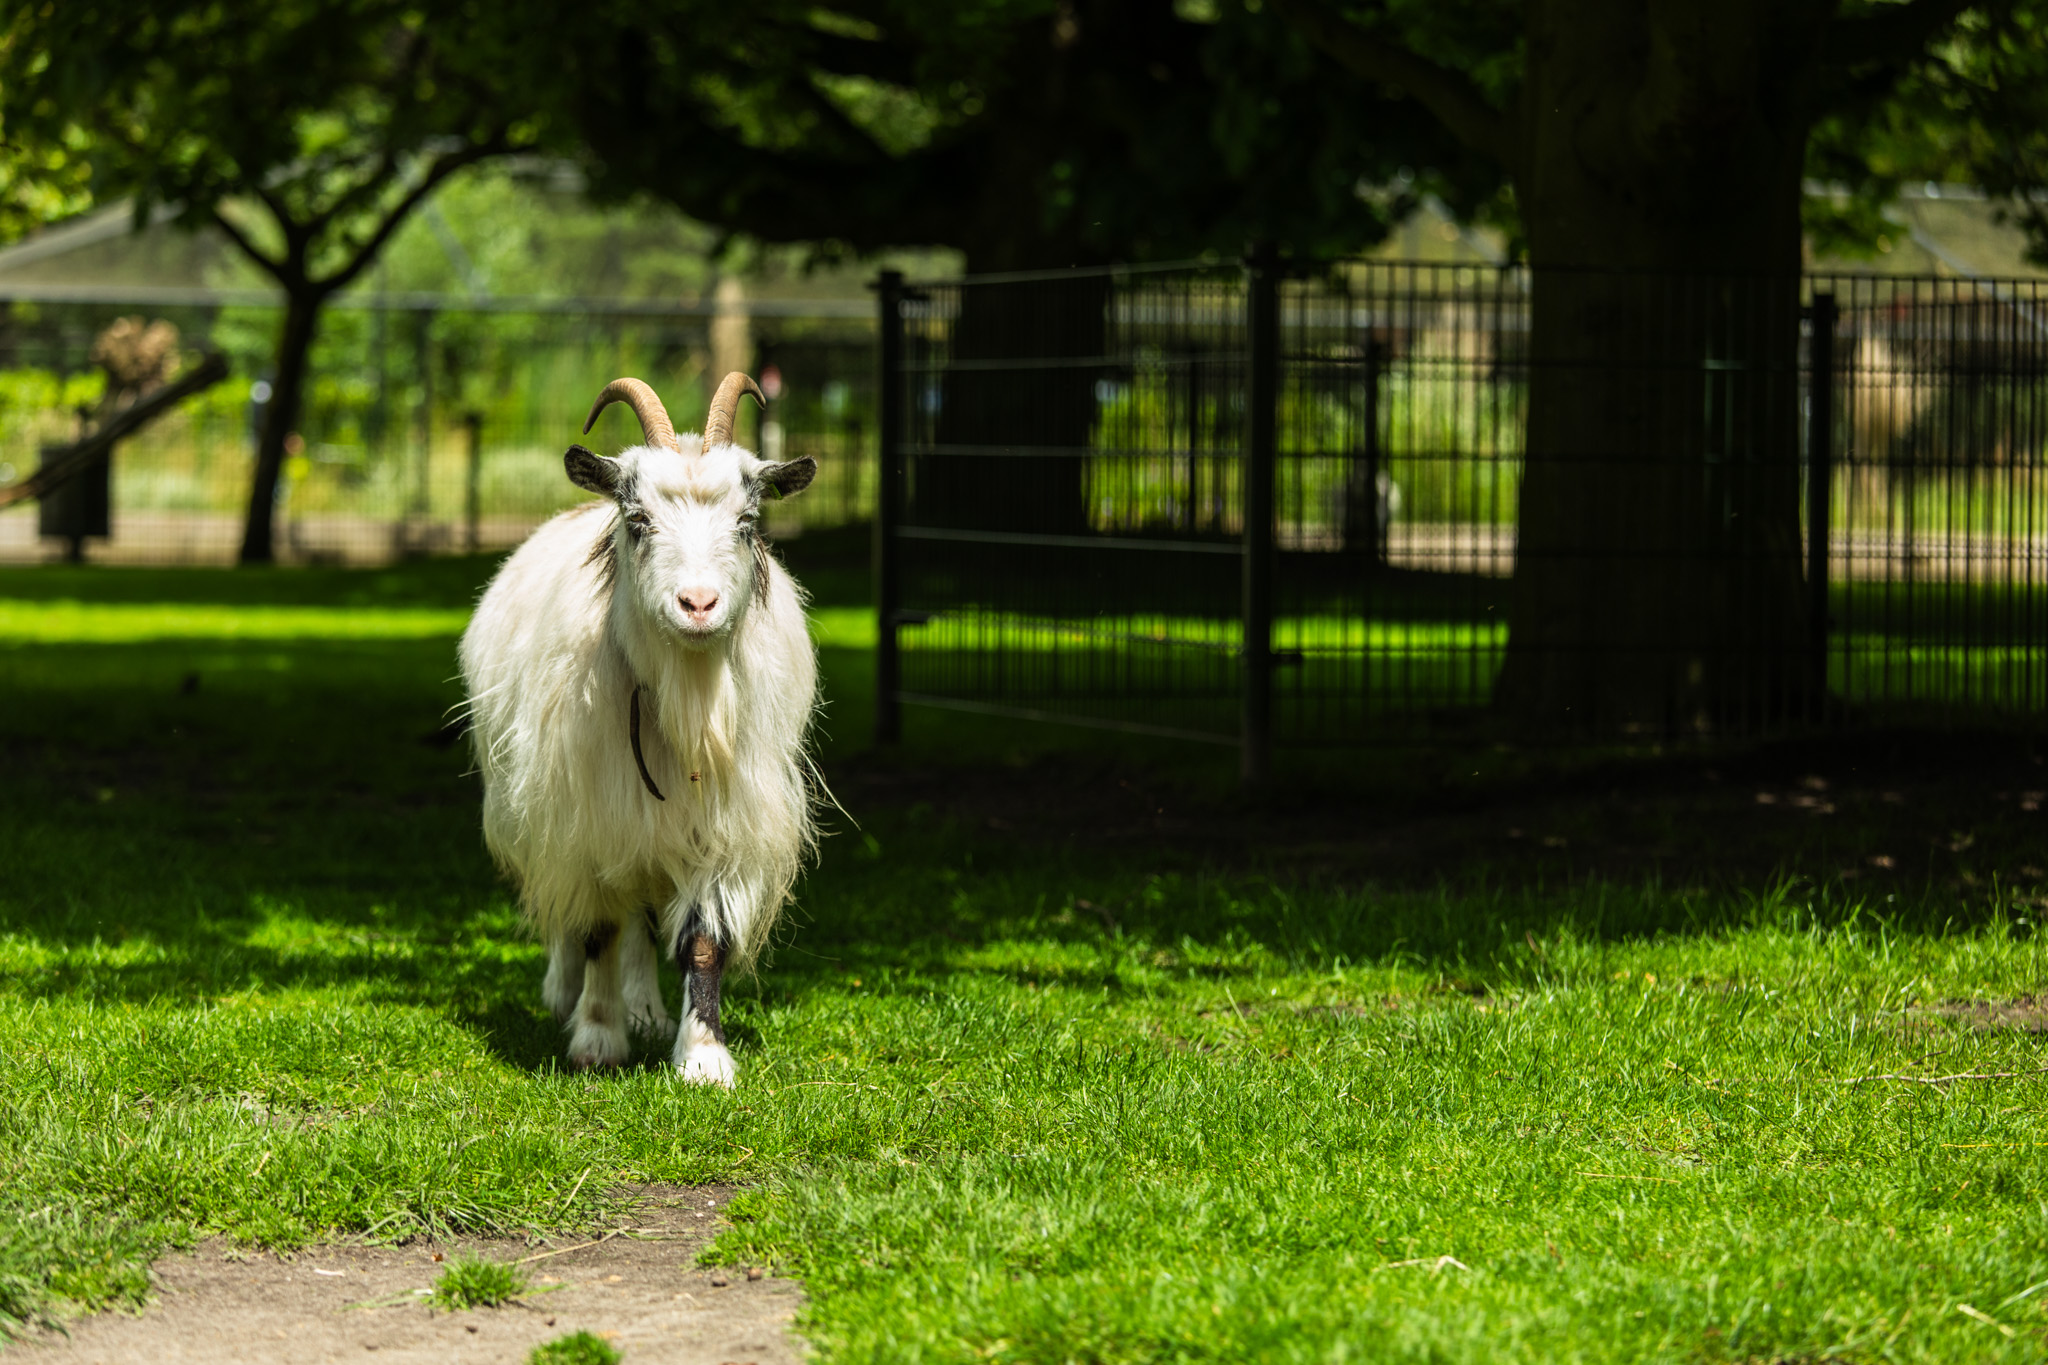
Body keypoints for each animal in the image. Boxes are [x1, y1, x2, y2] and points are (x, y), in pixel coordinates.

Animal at [460, 374, 819, 1088]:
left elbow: (701, 941)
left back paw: (647, 1008)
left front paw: (702, 1056)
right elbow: (597, 925)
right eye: (638, 522)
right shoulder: (585, 819)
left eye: (747, 524)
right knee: (592, 919)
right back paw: (568, 994)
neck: (685, 700)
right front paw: (597, 1038)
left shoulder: (724, 824)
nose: (698, 605)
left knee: (643, 918)